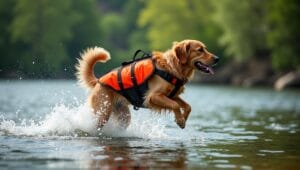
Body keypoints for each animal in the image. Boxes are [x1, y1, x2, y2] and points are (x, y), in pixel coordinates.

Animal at [76, 39, 219, 129]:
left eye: (205, 49)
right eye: (200, 50)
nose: (217, 58)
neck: (172, 67)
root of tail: (98, 81)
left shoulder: (173, 95)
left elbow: (188, 106)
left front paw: (182, 120)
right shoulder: (153, 96)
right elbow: (175, 105)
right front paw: (180, 120)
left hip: (123, 116)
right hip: (103, 112)